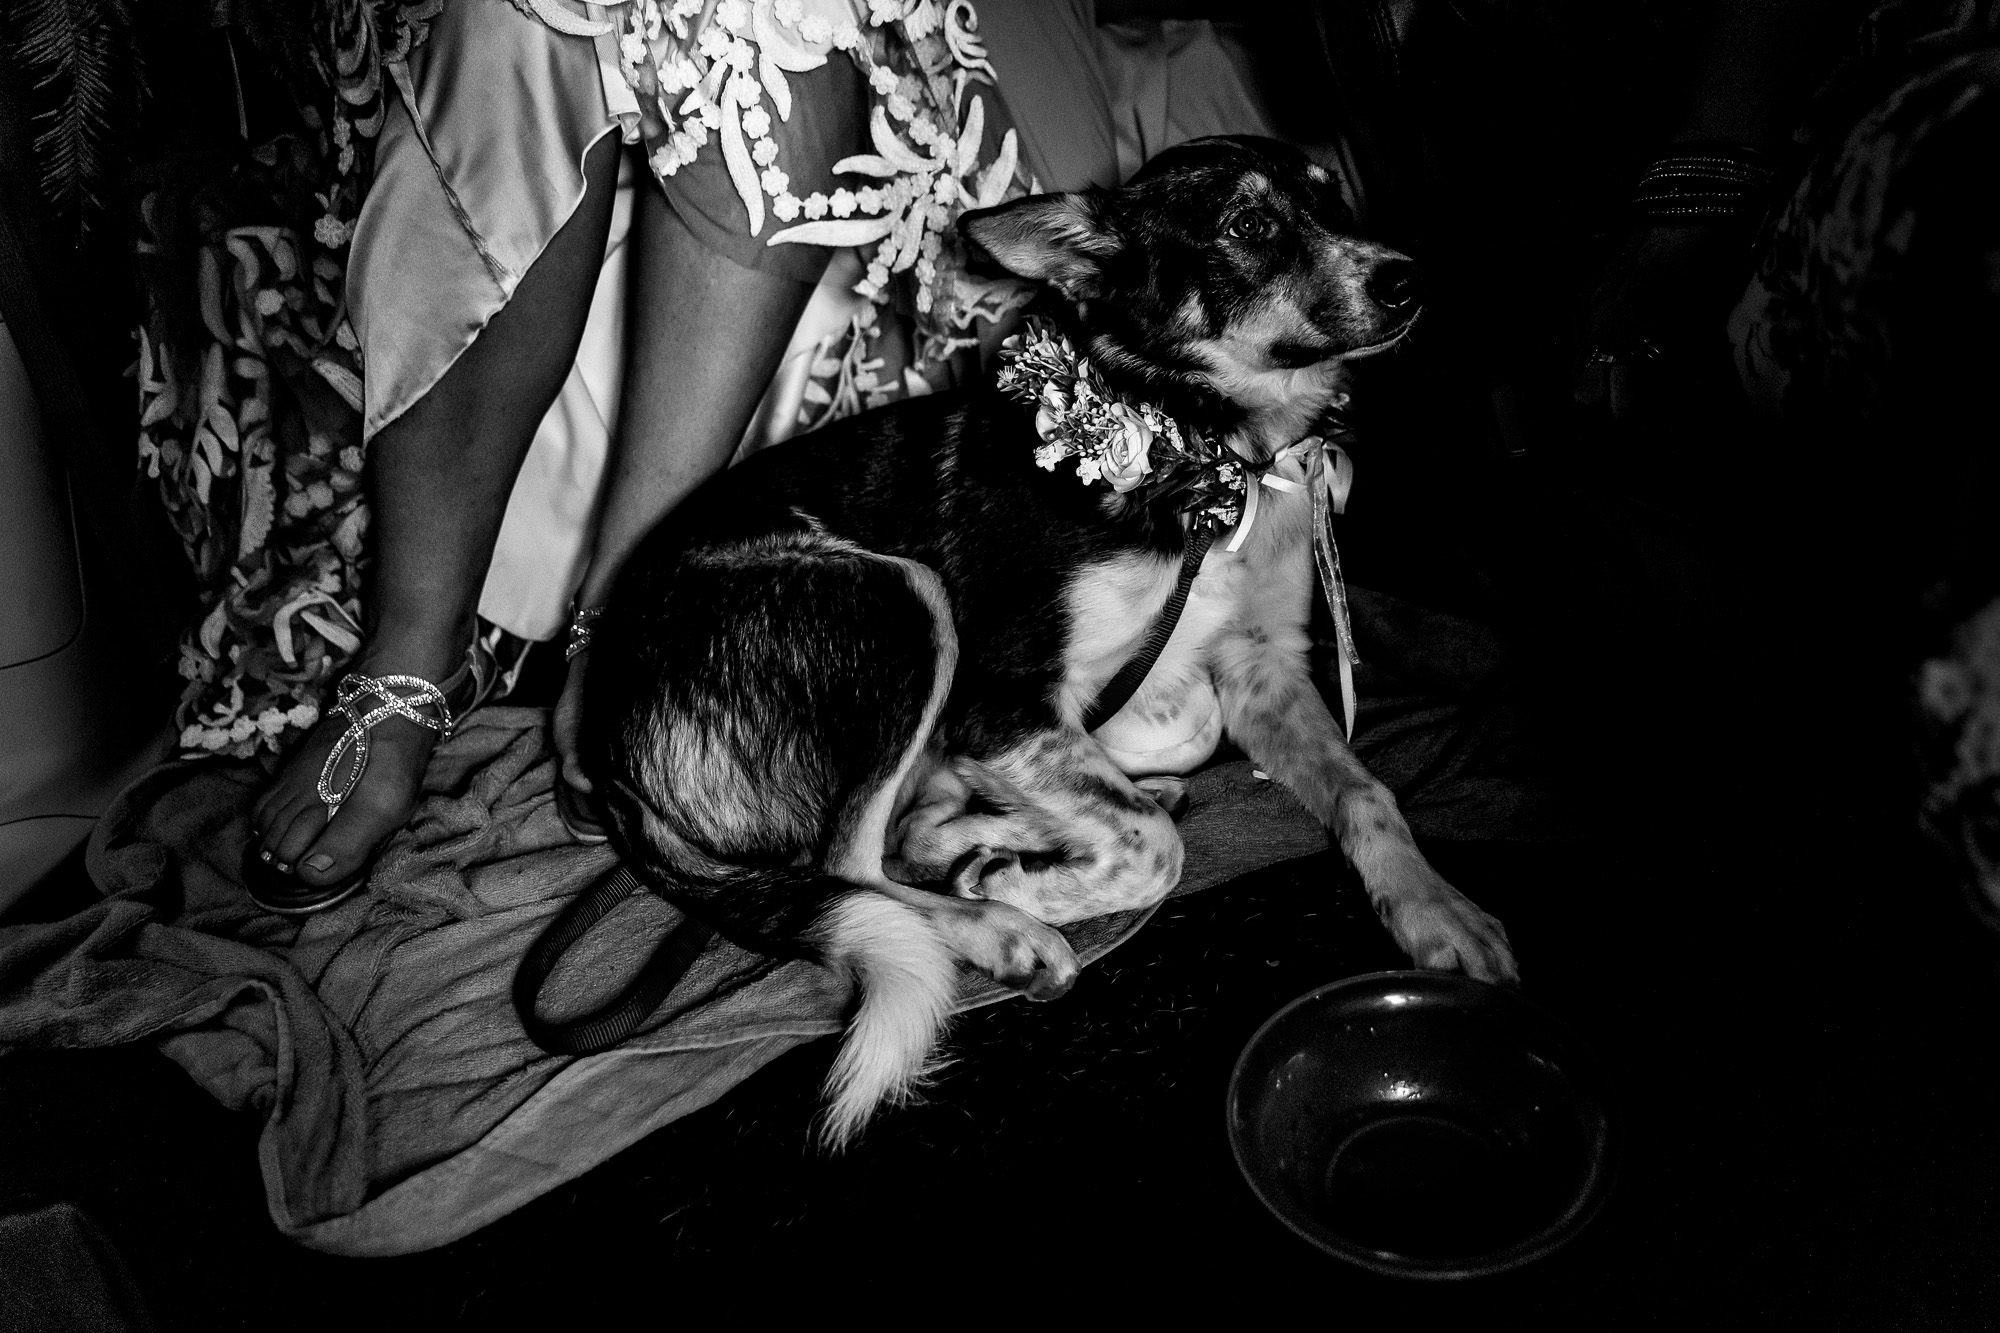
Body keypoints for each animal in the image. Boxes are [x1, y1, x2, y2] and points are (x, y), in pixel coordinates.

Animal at [580, 132, 1512, 1144]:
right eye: (1247, 226)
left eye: (1332, 199)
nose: (1408, 279)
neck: (1204, 448)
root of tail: (608, 747)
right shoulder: (999, 700)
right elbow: (1153, 849)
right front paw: (1018, 889)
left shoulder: (1261, 664)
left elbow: (1363, 791)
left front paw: (1436, 909)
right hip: (901, 601)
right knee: (849, 869)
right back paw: (1003, 927)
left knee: (910, 837)